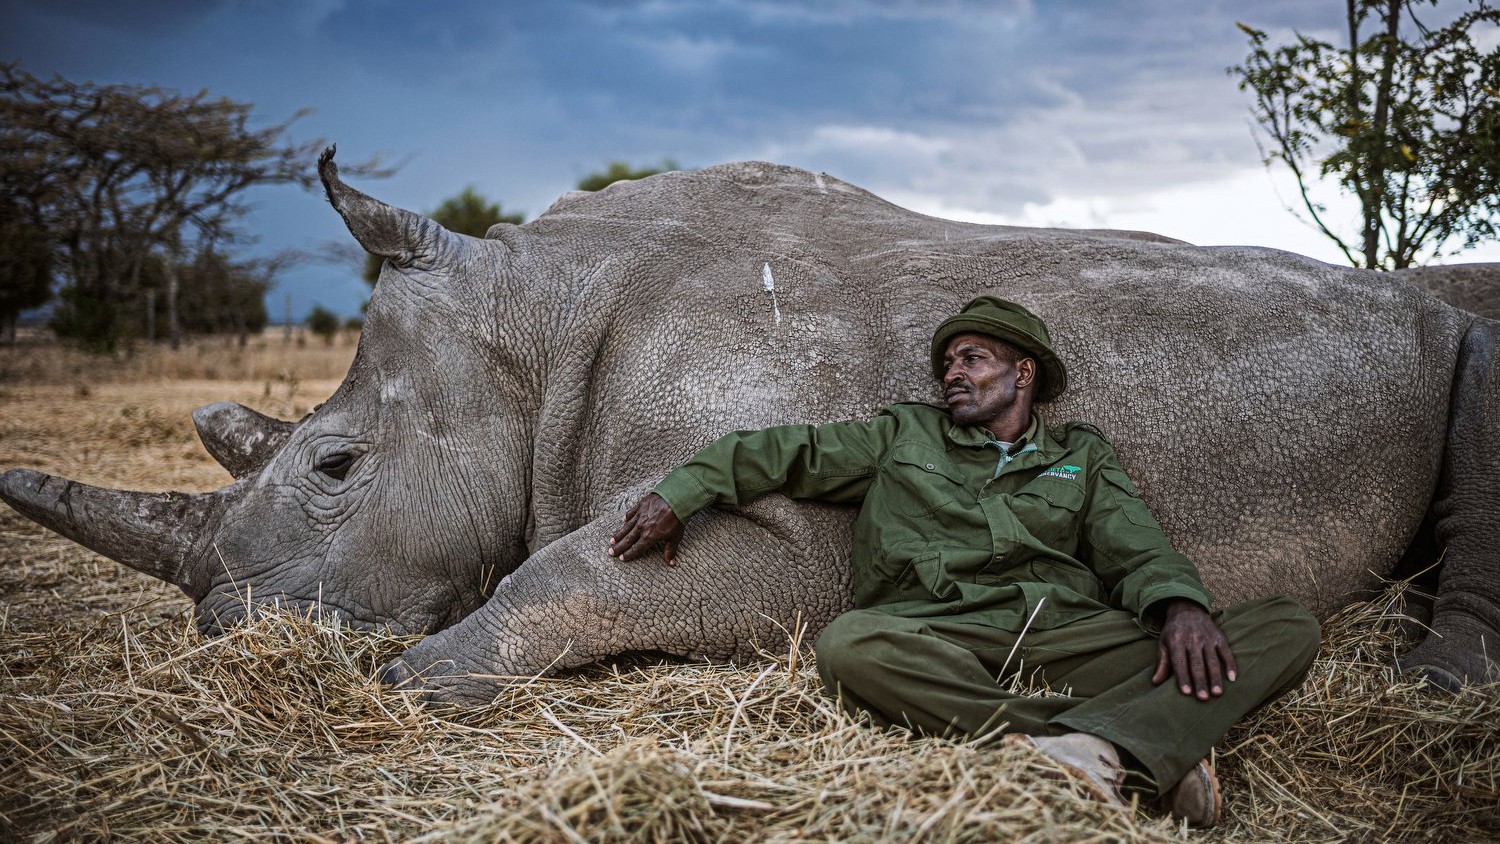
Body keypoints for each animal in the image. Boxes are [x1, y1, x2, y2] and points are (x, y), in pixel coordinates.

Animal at [3, 148, 1497, 704]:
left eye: (334, 465)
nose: (227, 639)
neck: (533, 326)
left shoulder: (800, 535)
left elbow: (566, 575)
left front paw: (419, 680)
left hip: (1468, 319)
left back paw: (1436, 693)